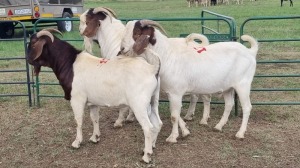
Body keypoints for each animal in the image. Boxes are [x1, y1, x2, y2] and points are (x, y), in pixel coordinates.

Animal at [26, 28, 162, 163]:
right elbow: (94, 118)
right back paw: (152, 146)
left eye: (33, 43)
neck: (70, 63)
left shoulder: (77, 99)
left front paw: (77, 142)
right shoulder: (93, 102)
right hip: (153, 100)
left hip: (139, 104)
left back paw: (147, 155)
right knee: (157, 123)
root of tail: (152, 69)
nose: (28, 59)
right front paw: (95, 137)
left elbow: (78, 120)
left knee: (148, 127)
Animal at [120, 20, 258, 143]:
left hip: (243, 84)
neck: (166, 55)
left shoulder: (176, 92)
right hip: (228, 87)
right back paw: (218, 126)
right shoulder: (172, 92)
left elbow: (174, 116)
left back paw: (240, 133)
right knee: (229, 104)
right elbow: (176, 113)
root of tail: (250, 52)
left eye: (137, 33)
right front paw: (185, 131)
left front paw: (172, 137)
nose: (122, 49)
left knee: (247, 107)